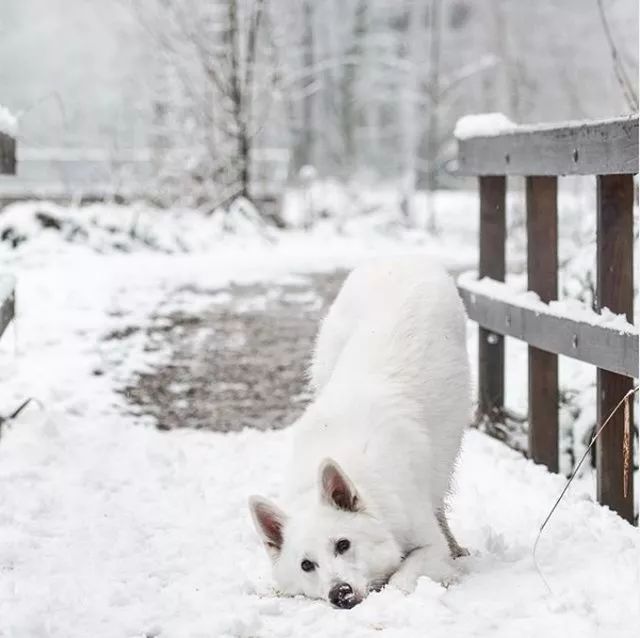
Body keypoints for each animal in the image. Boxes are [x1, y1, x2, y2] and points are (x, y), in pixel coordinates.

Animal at [250, 255, 470, 608]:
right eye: (307, 565)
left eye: (343, 544)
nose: (339, 593)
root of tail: (397, 259)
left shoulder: (428, 546)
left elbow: (402, 577)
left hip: (450, 445)